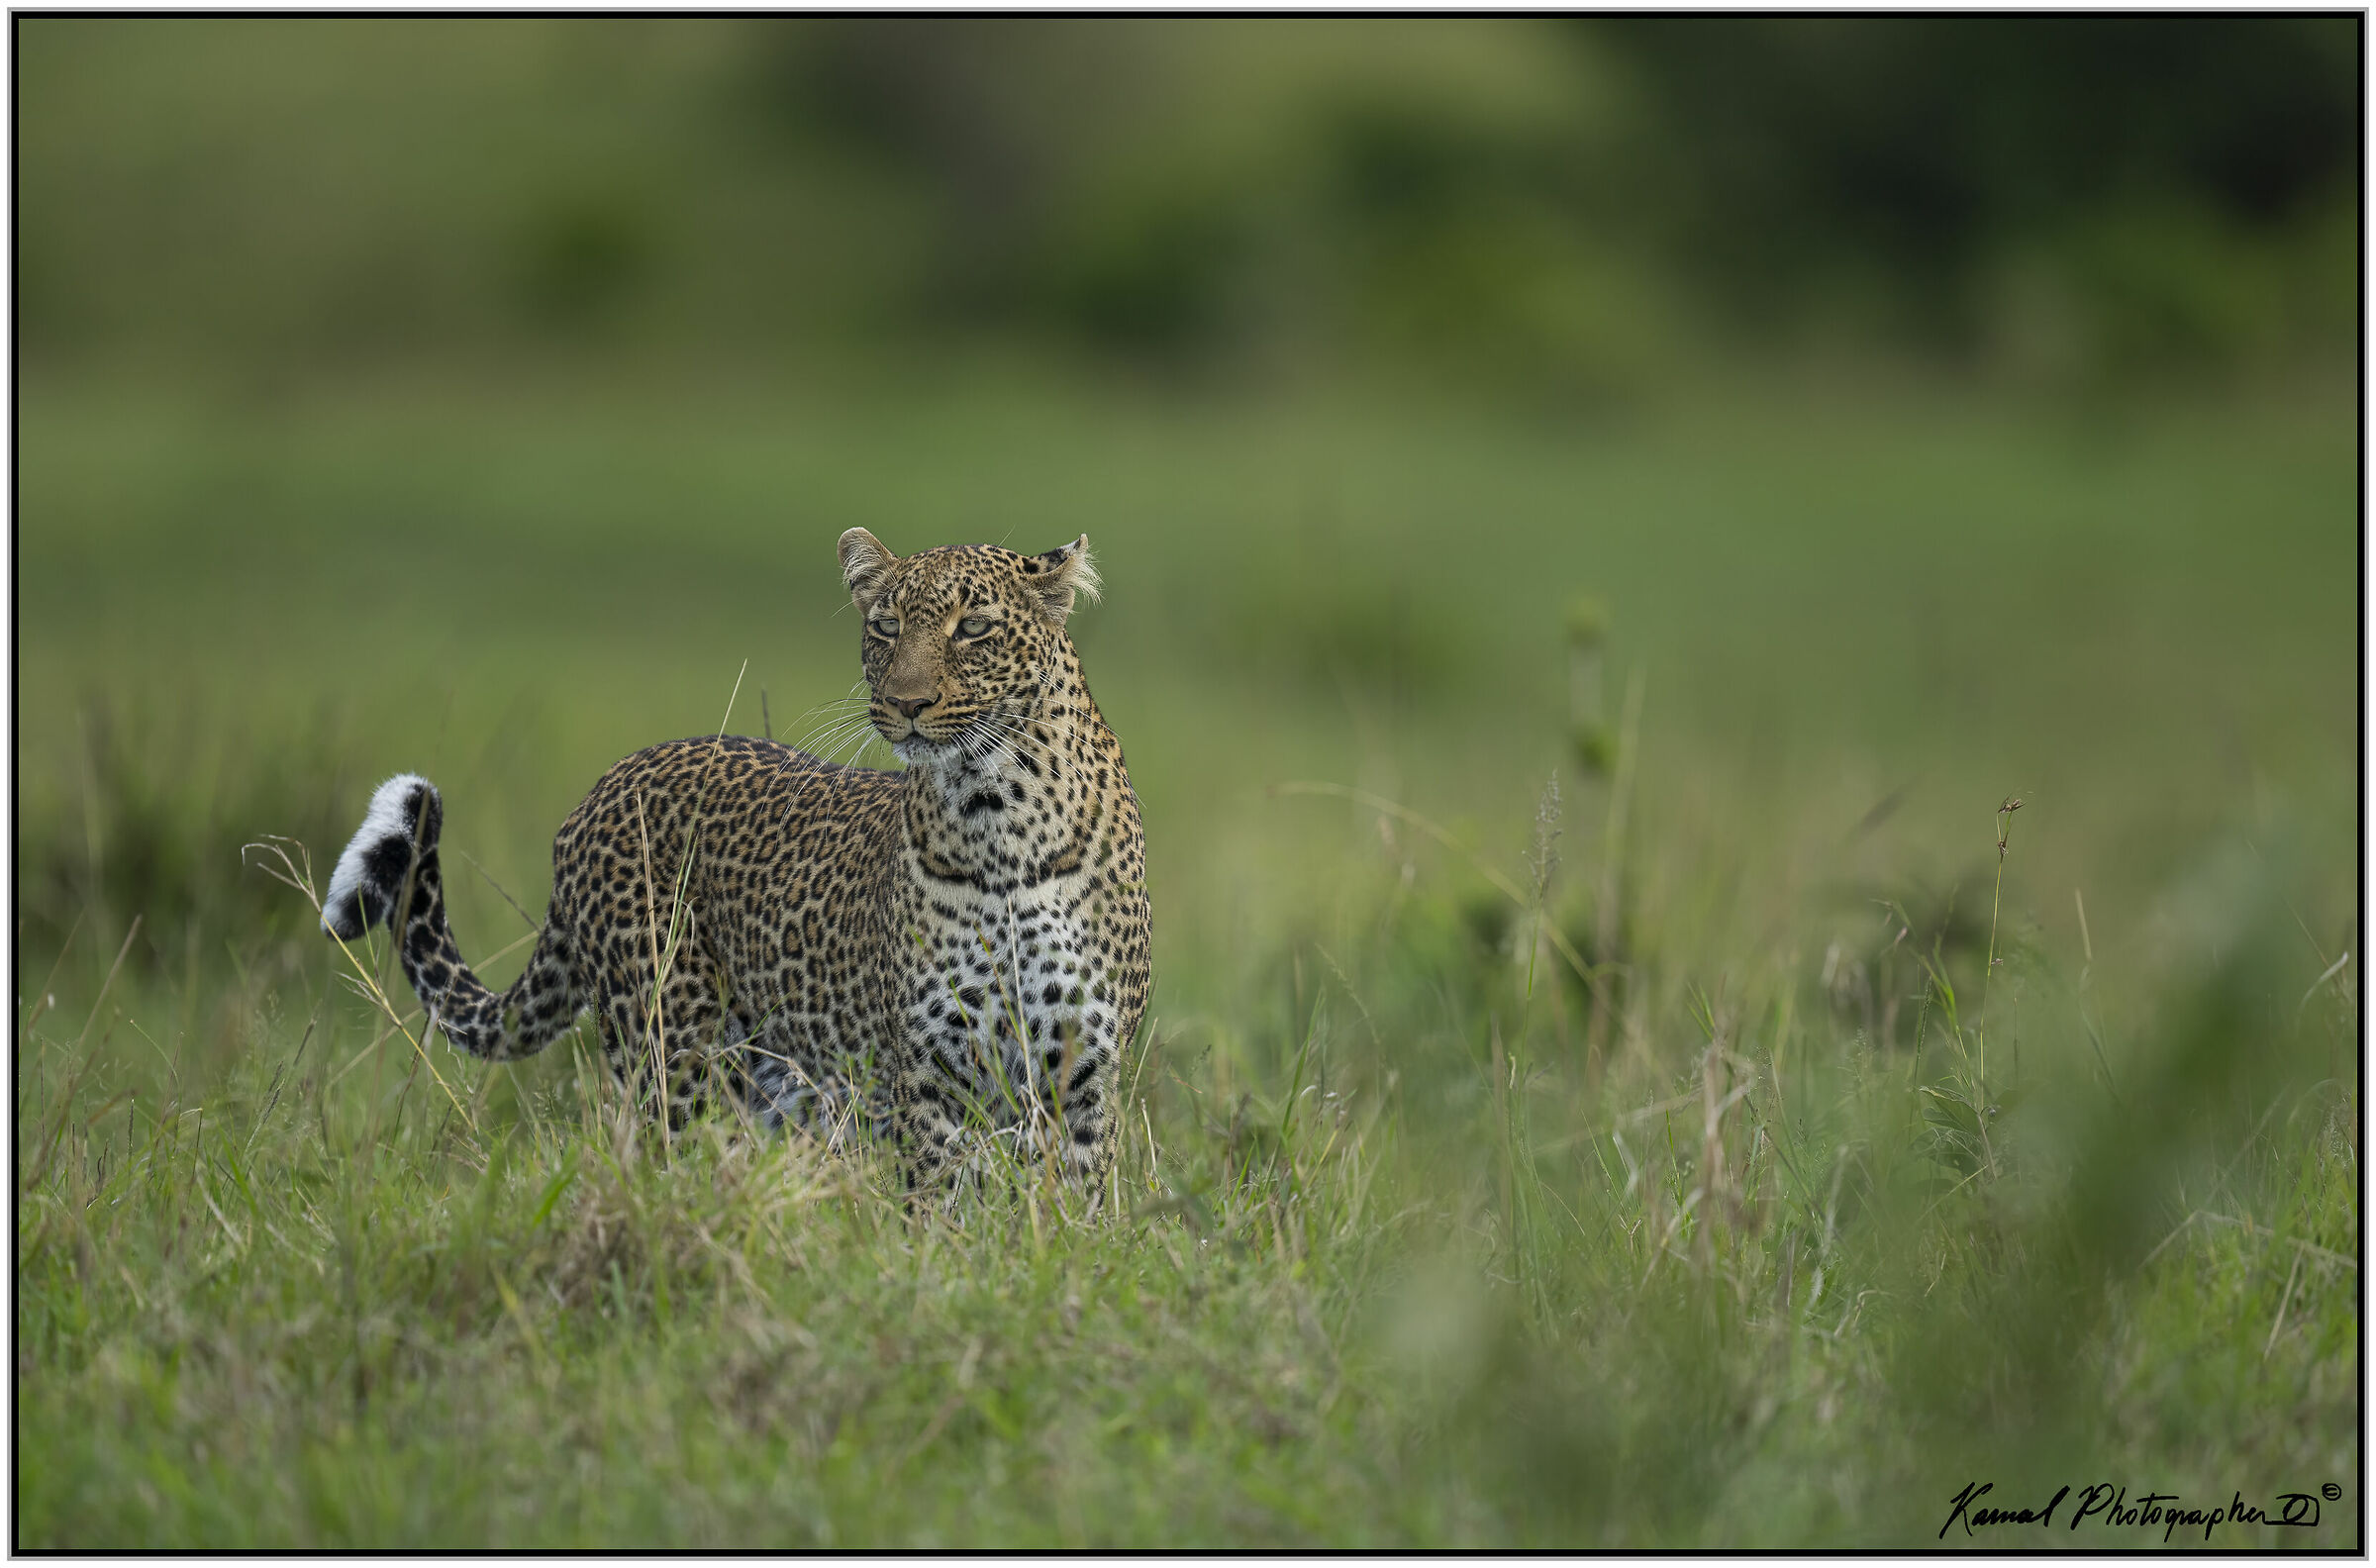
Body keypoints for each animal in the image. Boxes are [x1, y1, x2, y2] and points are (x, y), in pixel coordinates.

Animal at [319, 529, 1150, 1196]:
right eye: (885, 627)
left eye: (973, 628)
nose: (906, 703)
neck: (998, 817)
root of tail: (605, 785)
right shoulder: (931, 1072)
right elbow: (943, 1206)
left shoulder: (1082, 1075)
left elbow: (1070, 1210)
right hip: (671, 1046)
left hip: (778, 1080)